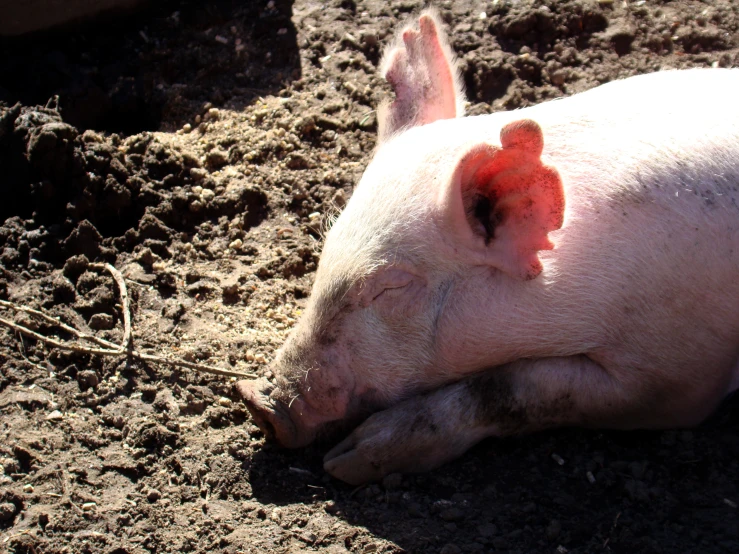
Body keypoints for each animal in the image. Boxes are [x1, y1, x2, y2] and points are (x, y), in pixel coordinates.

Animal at [238, 8, 739, 484]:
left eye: (390, 287)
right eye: (326, 251)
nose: (257, 402)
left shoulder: (674, 374)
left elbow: (514, 390)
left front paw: (349, 462)